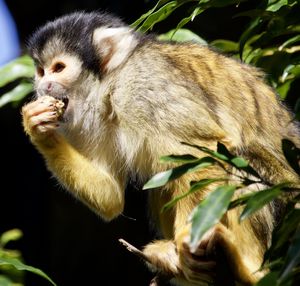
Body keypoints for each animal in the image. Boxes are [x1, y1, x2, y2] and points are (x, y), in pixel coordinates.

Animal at [21, 11, 300, 286]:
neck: (111, 86)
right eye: (41, 71)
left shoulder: (145, 86)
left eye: (58, 68)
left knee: (240, 161)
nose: (44, 85)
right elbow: (111, 196)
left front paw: (189, 235)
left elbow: (202, 151)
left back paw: (249, 269)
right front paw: (37, 126)